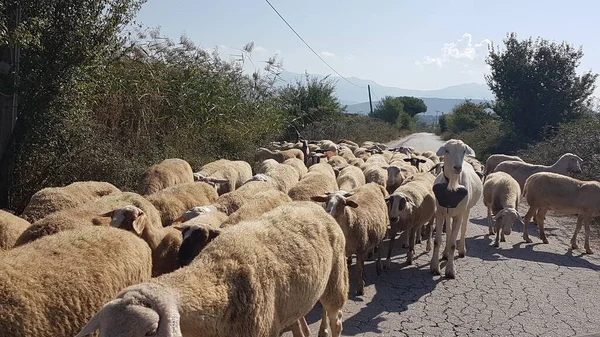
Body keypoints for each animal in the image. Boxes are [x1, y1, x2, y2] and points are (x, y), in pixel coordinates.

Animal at [432, 138, 482, 276]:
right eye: (447, 150)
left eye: (464, 150)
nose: (457, 167)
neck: (452, 186)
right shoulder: (440, 213)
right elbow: (437, 241)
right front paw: (434, 267)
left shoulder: (459, 214)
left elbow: (453, 244)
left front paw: (450, 270)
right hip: (448, 213)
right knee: (449, 232)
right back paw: (445, 253)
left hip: (466, 210)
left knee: (463, 229)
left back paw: (461, 251)